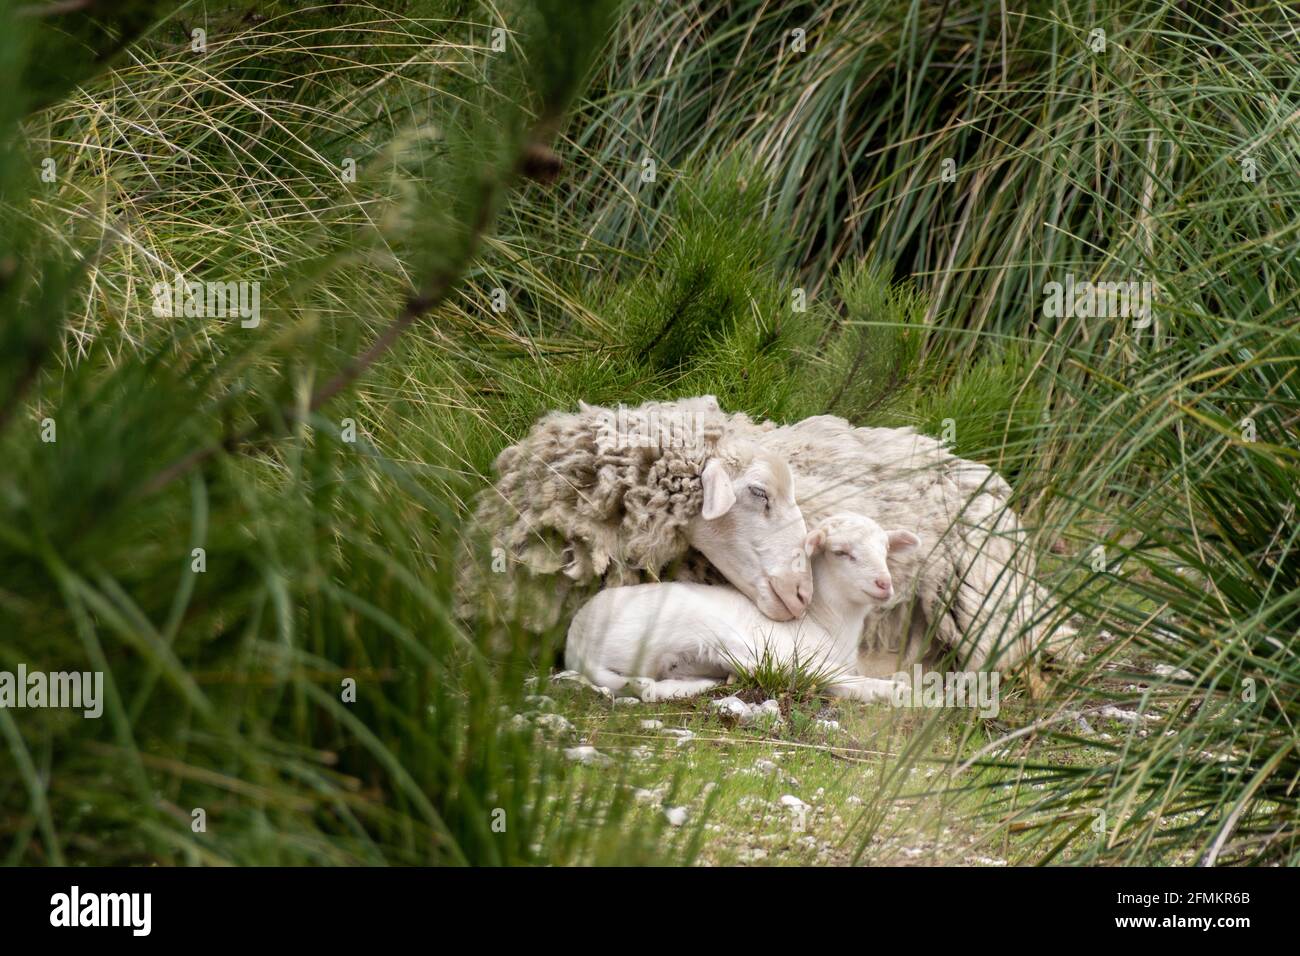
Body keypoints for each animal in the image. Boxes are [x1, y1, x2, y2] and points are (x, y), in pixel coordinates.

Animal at [564, 515, 920, 702]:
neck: (825, 623)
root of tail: (578, 644)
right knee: (773, 668)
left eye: (885, 550)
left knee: (651, 686)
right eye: (841, 552)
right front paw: (892, 686)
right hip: (697, 625)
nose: (884, 584)